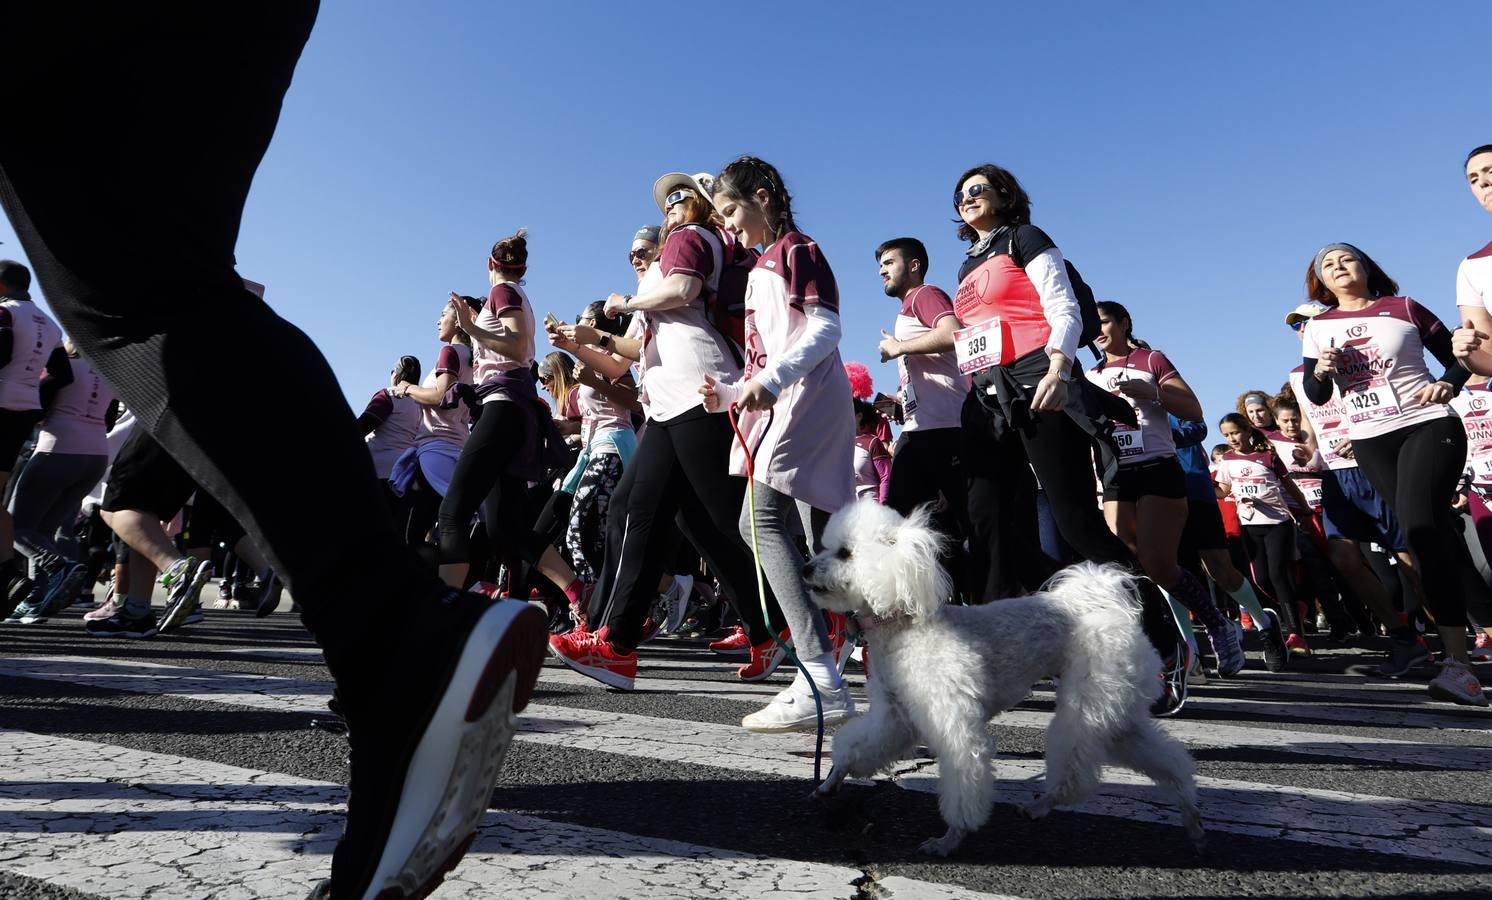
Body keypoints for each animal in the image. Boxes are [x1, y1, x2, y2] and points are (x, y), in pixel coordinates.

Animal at [805, 501, 1199, 859]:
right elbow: (858, 746)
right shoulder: (895, 716)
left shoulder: (953, 720)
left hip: (1090, 700)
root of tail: (1106, 608)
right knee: (1165, 758)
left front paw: (950, 838)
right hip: (1117, 706)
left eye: (844, 553)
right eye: (825, 546)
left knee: (1075, 769)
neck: (903, 624)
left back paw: (1043, 804)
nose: (807, 567)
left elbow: (963, 778)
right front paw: (831, 780)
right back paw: (1191, 816)